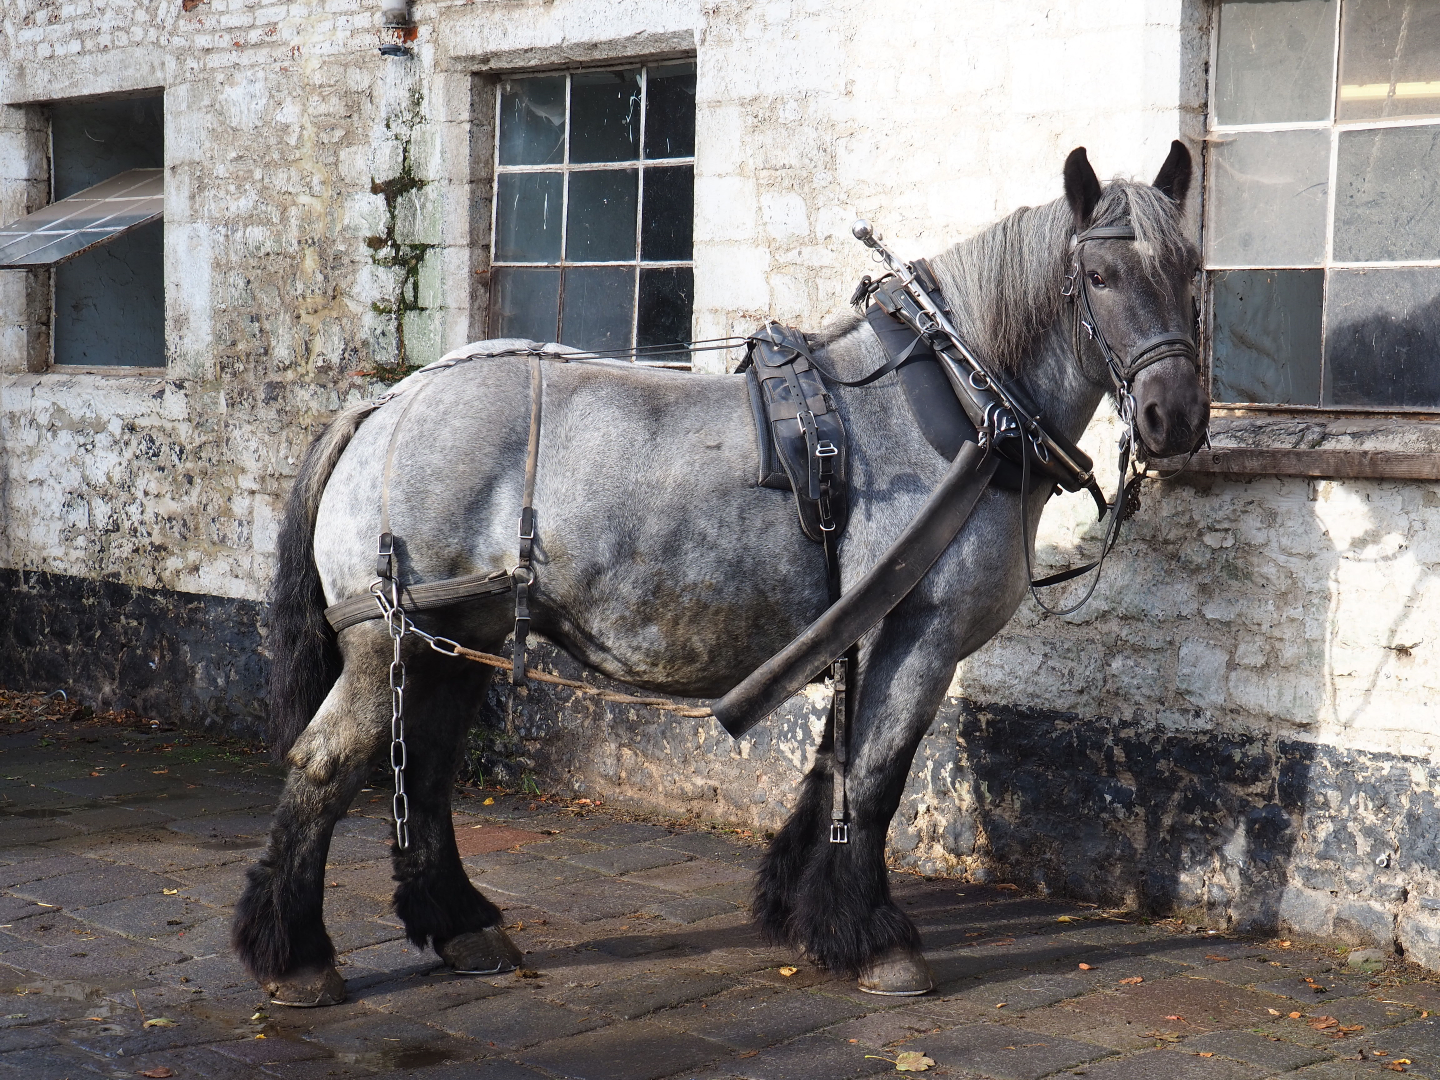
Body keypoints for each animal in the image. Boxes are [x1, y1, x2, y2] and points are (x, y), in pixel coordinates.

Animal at [233, 143, 1208, 1005]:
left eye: (1192, 267)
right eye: (1101, 278)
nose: (1177, 417)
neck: (963, 404)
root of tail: (385, 402)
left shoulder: (862, 624)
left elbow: (834, 769)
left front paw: (803, 912)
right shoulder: (924, 630)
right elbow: (877, 777)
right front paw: (875, 939)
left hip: (451, 638)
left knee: (426, 772)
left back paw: (462, 925)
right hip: (389, 641)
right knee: (326, 765)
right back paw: (296, 957)